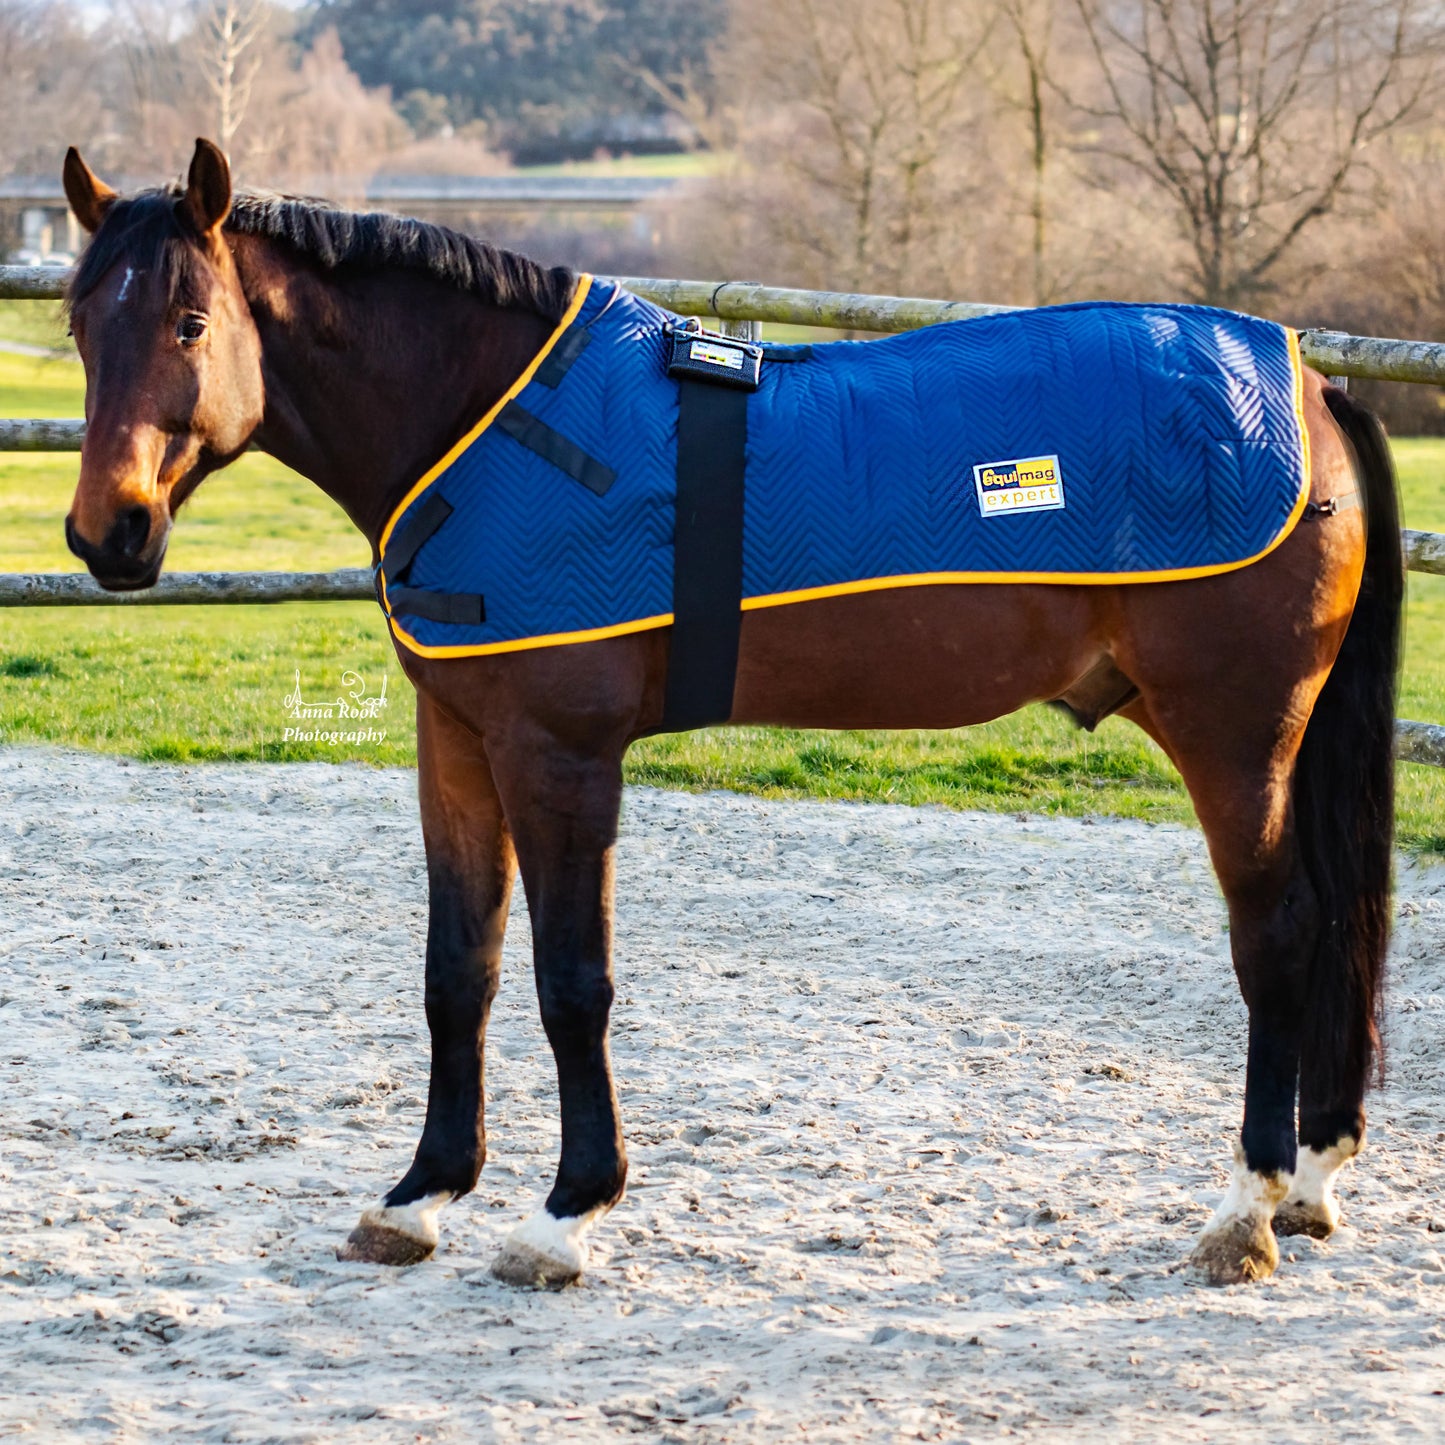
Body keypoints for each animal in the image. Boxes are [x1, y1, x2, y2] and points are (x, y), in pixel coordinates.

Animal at [58, 139, 1401, 1289]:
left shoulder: (562, 757)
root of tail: (1308, 382)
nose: (107, 533)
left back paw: (1242, 1206)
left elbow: (569, 979)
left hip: (1231, 732)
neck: (484, 422)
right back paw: (1310, 1176)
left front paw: (566, 1213)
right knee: (1322, 921)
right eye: (77, 324)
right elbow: (458, 970)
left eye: (188, 320)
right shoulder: (457, 744)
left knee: (1278, 931)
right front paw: (418, 1195)